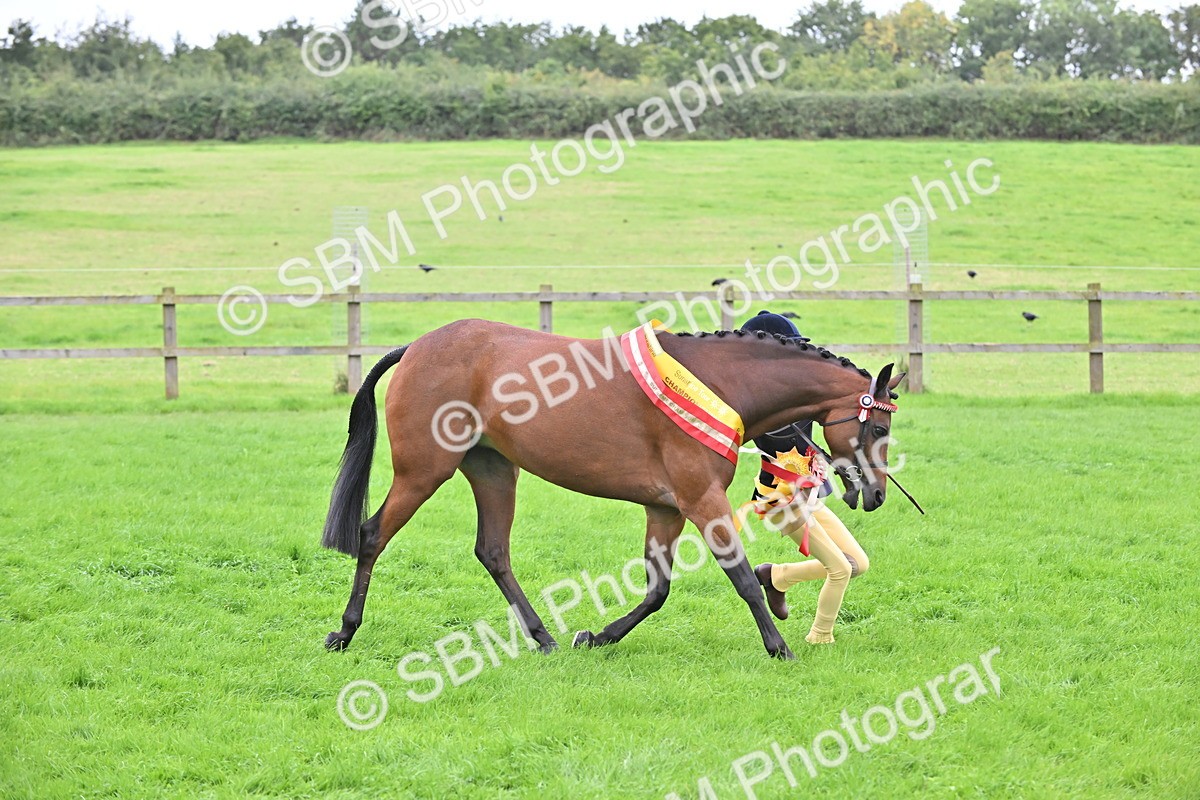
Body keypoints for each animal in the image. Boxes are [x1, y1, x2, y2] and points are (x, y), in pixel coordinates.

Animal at [320, 319, 904, 659]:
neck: (721, 383)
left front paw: (597, 636)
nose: (875, 495)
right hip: (424, 471)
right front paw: (779, 646)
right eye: (878, 428)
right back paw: (344, 632)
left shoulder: (666, 509)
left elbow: (657, 590)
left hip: (494, 472)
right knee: (372, 535)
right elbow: (741, 576)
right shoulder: (701, 502)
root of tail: (417, 347)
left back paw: (545, 638)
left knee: (493, 551)